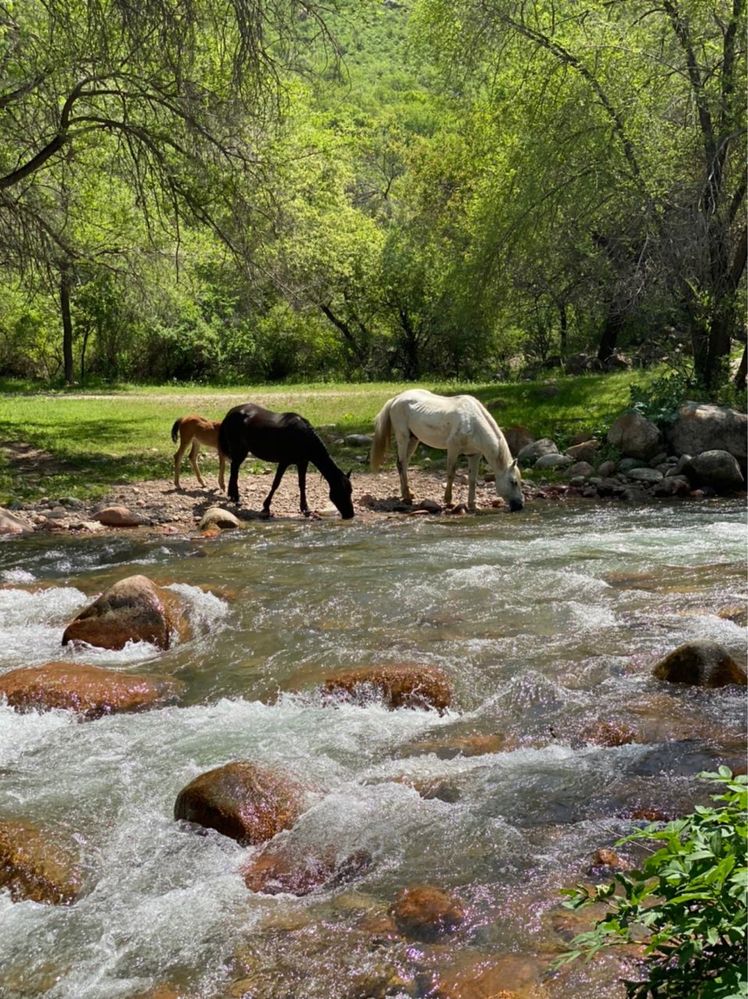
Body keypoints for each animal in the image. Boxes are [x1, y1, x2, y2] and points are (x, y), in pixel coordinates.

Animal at [218, 402, 356, 520]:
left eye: (350, 491)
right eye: (341, 492)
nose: (350, 514)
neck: (302, 437)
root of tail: (231, 412)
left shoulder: (303, 462)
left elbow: (302, 484)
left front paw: (305, 508)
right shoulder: (284, 462)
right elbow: (276, 483)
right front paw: (266, 507)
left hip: (243, 451)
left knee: (234, 469)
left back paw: (233, 496)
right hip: (238, 449)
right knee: (234, 470)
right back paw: (236, 499)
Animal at [370, 388, 524, 516]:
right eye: (513, 482)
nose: (520, 506)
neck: (473, 424)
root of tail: (396, 398)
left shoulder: (474, 455)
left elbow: (472, 479)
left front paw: (472, 505)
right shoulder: (453, 449)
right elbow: (451, 473)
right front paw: (448, 500)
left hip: (414, 440)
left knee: (404, 464)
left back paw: (408, 493)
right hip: (403, 437)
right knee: (402, 463)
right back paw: (407, 497)